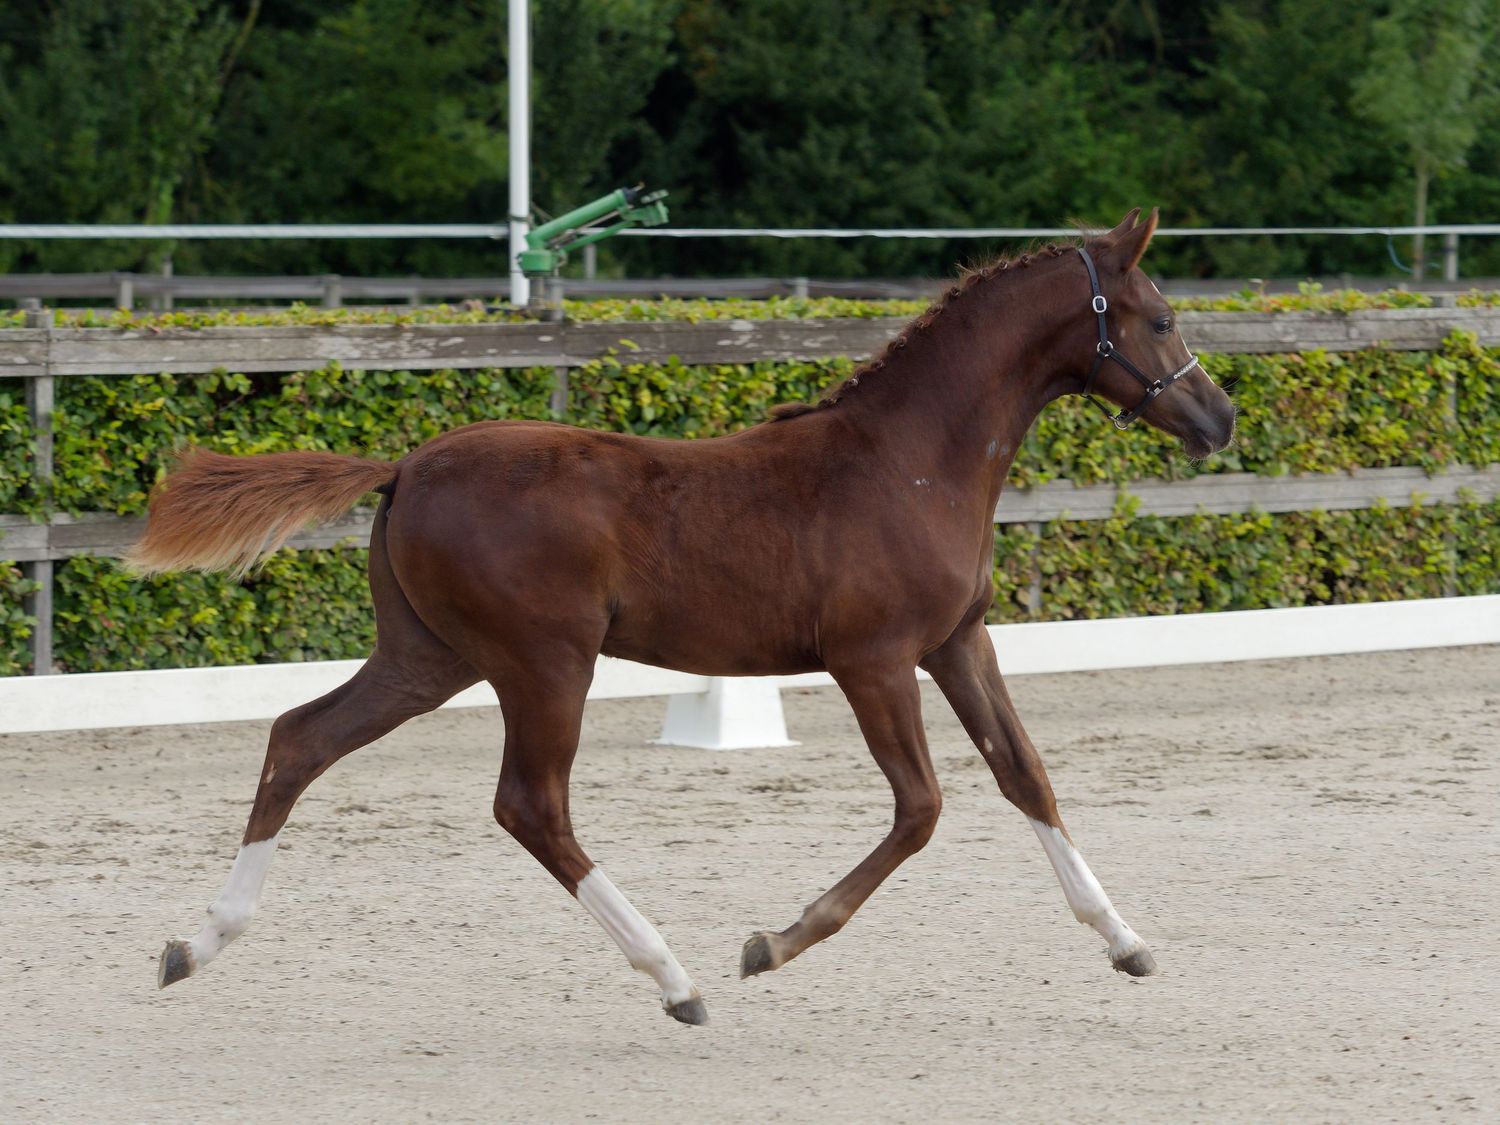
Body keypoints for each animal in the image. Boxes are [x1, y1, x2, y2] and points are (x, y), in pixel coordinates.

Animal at [131, 209, 1235, 1025]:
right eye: (1161, 316)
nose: (1218, 419)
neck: (910, 460)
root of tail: (407, 466)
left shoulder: (957, 643)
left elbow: (1026, 776)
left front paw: (1128, 941)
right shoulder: (873, 659)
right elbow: (921, 807)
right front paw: (774, 943)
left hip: (429, 656)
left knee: (300, 739)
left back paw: (195, 944)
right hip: (544, 663)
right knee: (530, 805)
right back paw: (676, 979)